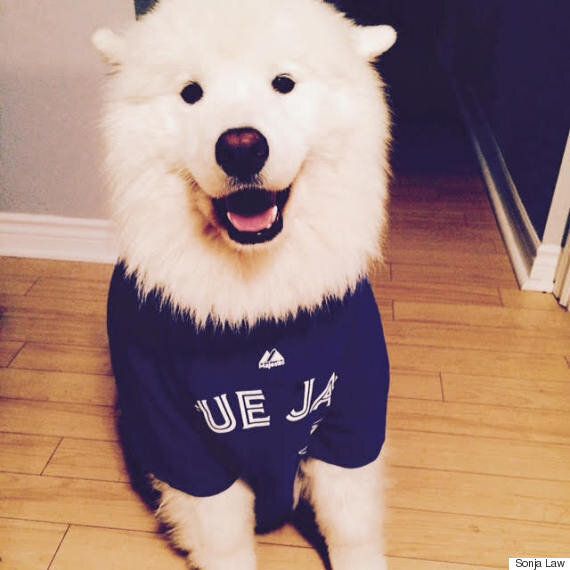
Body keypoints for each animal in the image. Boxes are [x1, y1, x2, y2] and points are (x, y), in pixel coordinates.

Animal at [93, 2, 394, 564]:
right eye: (191, 92)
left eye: (284, 84)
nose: (240, 147)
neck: (255, 301)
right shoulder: (183, 443)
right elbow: (225, 539)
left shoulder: (350, 417)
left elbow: (351, 526)